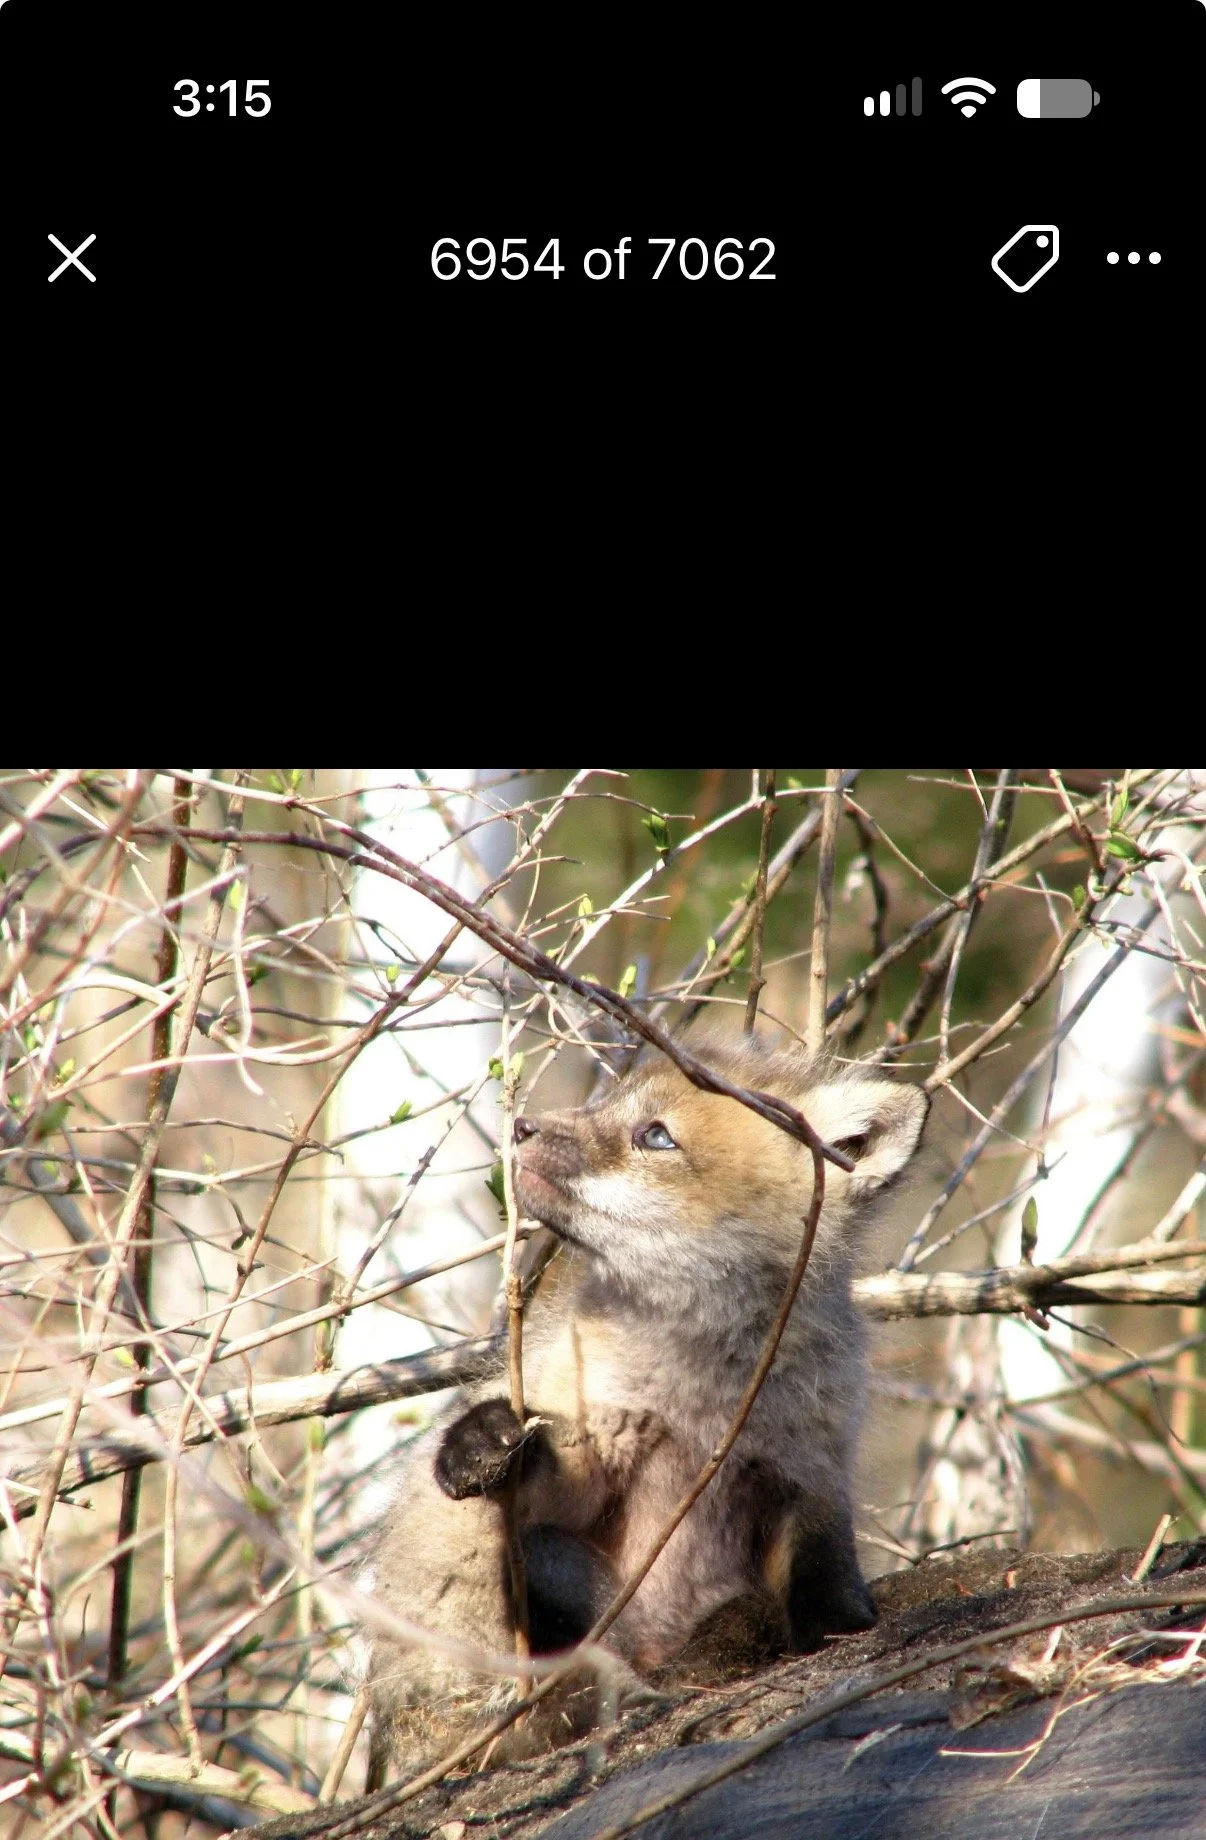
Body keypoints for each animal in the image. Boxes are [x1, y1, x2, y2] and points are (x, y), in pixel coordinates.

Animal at [363, 1029, 928, 1771]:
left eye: (655, 1136)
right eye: (607, 1103)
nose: (520, 1126)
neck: (700, 1393)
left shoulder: (807, 1466)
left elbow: (825, 1580)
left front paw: (843, 1630)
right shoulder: (591, 1445)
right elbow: (542, 1466)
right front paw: (479, 1444)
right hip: (550, 1573)